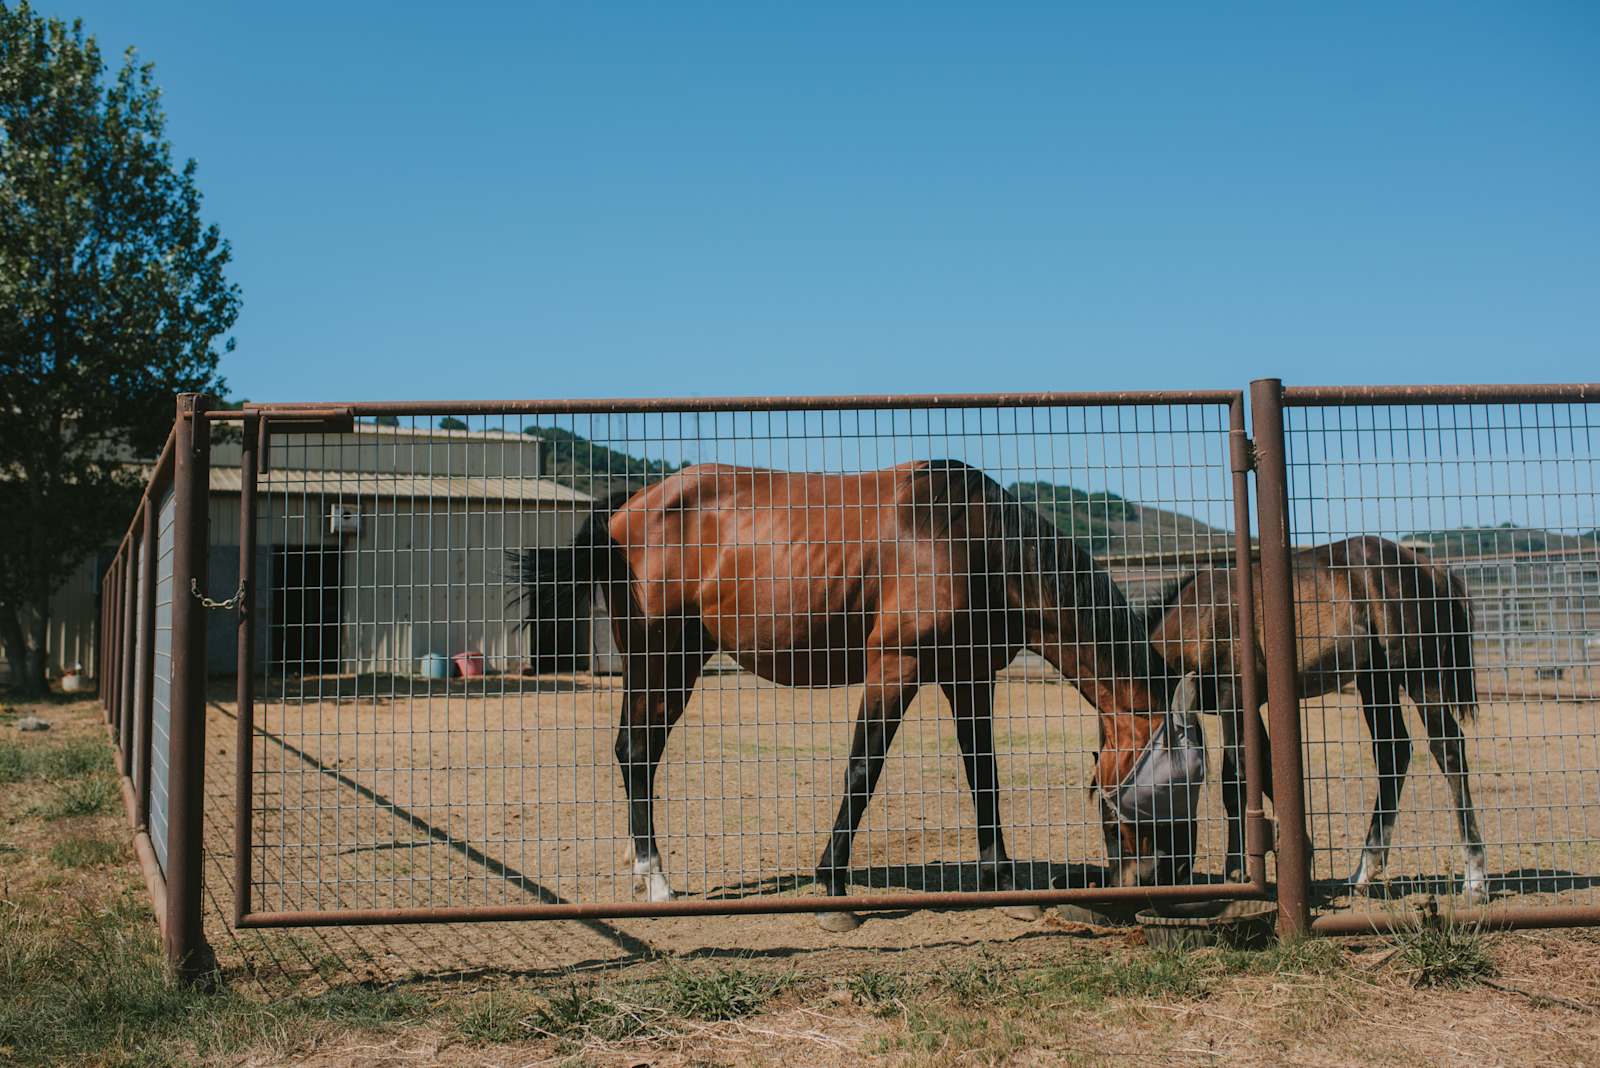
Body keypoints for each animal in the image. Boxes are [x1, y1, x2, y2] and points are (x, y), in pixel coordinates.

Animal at [512, 459, 1202, 930]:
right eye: (1161, 787)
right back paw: (656, 881)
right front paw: (833, 890)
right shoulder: (894, 669)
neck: (972, 543)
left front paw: (1002, 882)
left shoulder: (969, 676)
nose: (1172, 879)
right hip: (661, 660)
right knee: (638, 753)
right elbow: (862, 772)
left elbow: (984, 774)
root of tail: (630, 505)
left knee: (637, 751)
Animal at [1142, 535, 1488, 902]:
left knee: (1448, 749)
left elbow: (1237, 782)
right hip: (1375, 678)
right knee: (1392, 752)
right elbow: (1262, 768)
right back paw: (1363, 872)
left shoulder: (1234, 700)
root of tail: (1431, 569)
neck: (1197, 616)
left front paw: (1238, 874)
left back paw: (1475, 877)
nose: (1154, 874)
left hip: (1419, 673)